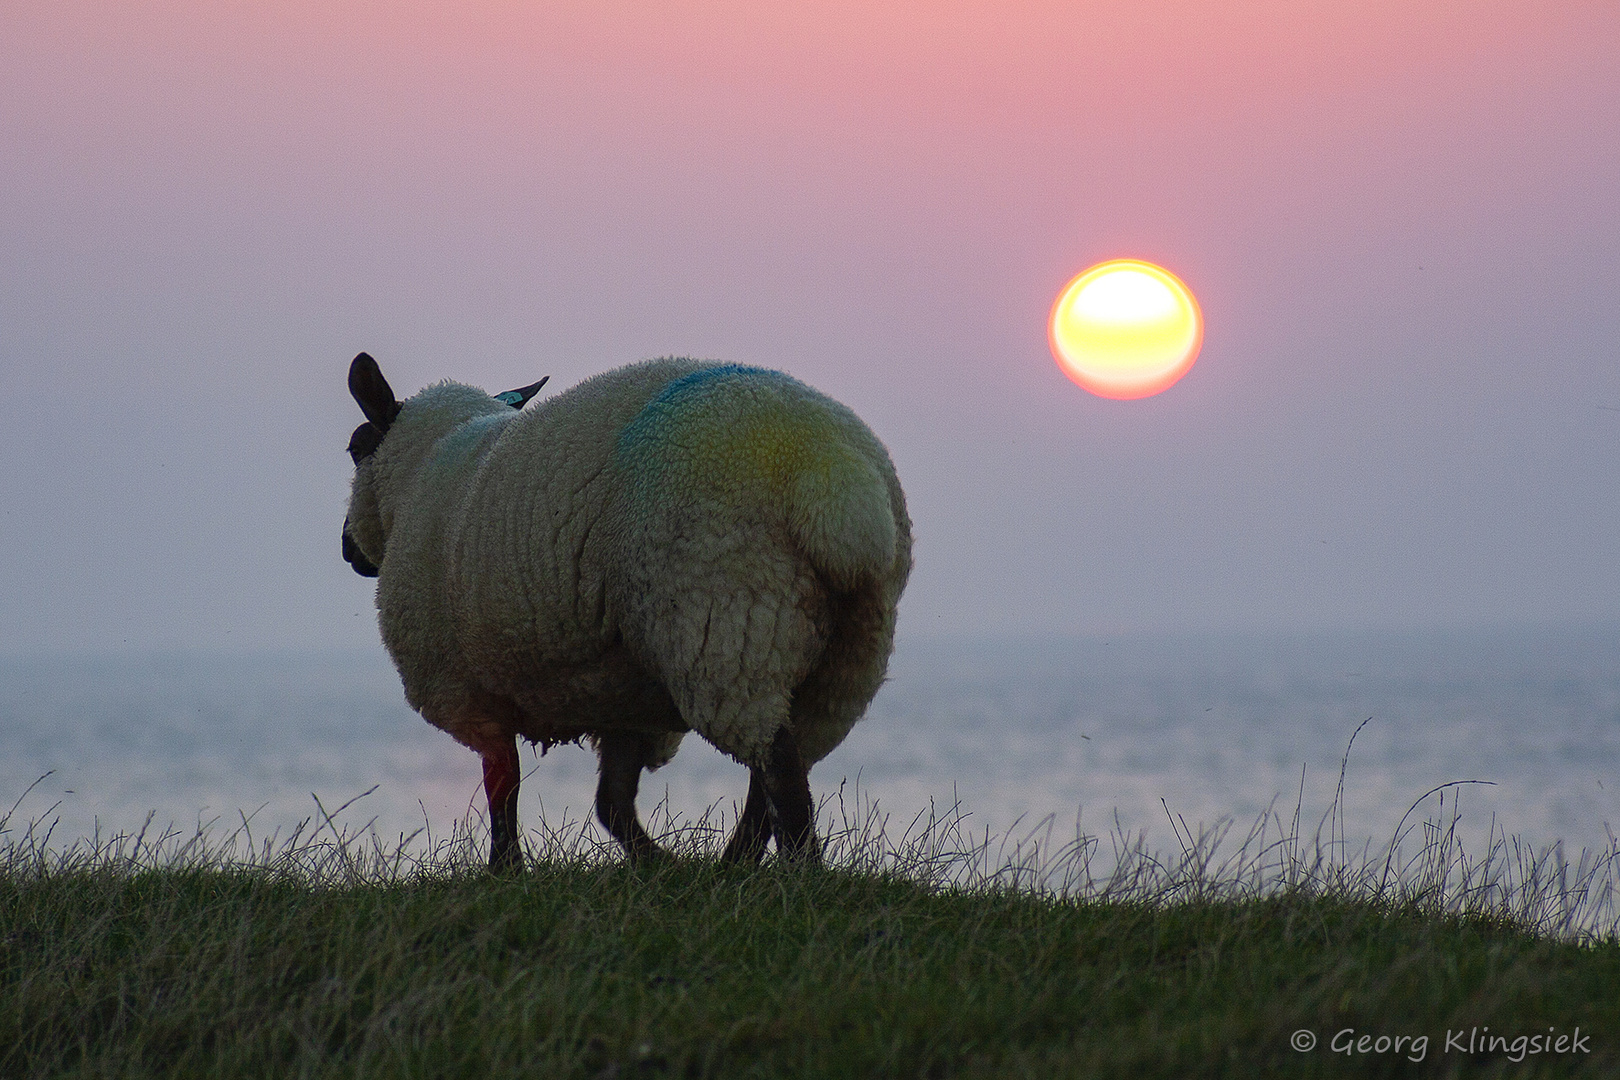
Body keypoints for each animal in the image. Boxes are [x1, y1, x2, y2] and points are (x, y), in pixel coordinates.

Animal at [341, 354, 913, 867]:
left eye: (354, 447)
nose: (348, 550)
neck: (419, 471)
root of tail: (839, 486)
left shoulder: (468, 691)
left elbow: (504, 789)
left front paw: (506, 872)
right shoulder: (622, 696)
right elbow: (611, 803)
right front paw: (658, 866)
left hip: (728, 623)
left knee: (779, 771)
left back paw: (795, 875)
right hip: (847, 652)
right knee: (777, 770)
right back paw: (734, 869)